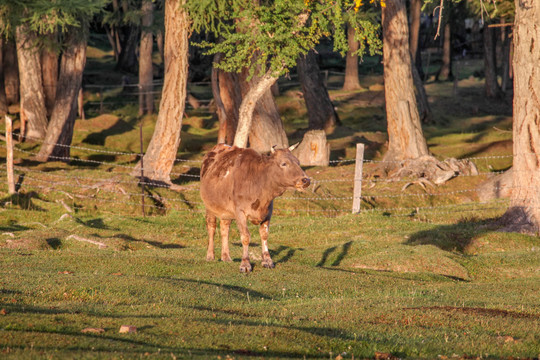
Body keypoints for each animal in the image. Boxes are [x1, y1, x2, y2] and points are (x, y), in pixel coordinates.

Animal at [199, 143, 310, 272]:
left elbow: (264, 234)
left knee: (224, 228)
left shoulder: (268, 211)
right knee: (211, 227)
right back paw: (210, 256)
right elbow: (245, 236)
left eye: (298, 162)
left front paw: (267, 261)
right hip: (209, 206)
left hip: (225, 210)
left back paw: (226, 256)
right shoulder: (240, 212)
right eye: (284, 163)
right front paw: (245, 264)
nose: (306, 180)